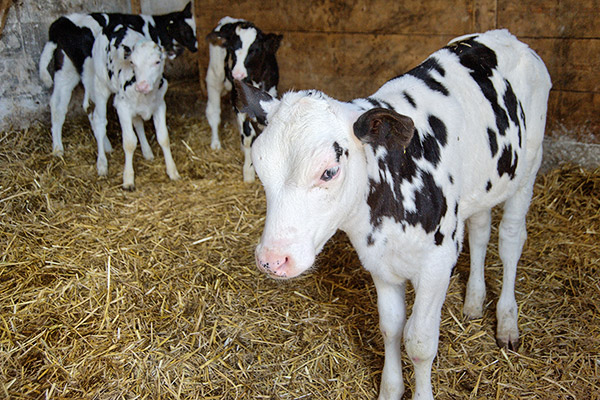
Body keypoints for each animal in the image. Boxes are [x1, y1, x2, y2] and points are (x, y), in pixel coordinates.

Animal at [38, 2, 197, 157]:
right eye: (185, 29)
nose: (195, 47)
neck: (154, 27)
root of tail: (62, 22)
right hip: (89, 71)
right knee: (90, 107)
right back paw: (103, 148)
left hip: (65, 71)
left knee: (58, 106)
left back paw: (58, 149)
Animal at [205, 16, 282, 182]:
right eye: (231, 49)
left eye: (254, 50)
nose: (237, 75)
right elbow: (248, 137)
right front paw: (249, 172)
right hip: (214, 77)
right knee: (213, 112)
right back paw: (215, 143)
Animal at [237, 30, 552, 400]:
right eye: (260, 168)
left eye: (329, 172)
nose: (272, 259)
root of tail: (505, 36)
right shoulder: (380, 262)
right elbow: (390, 327)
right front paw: (390, 389)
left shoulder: (436, 264)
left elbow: (420, 342)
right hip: (484, 184)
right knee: (480, 230)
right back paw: (474, 301)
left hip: (527, 170)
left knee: (510, 241)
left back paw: (507, 322)